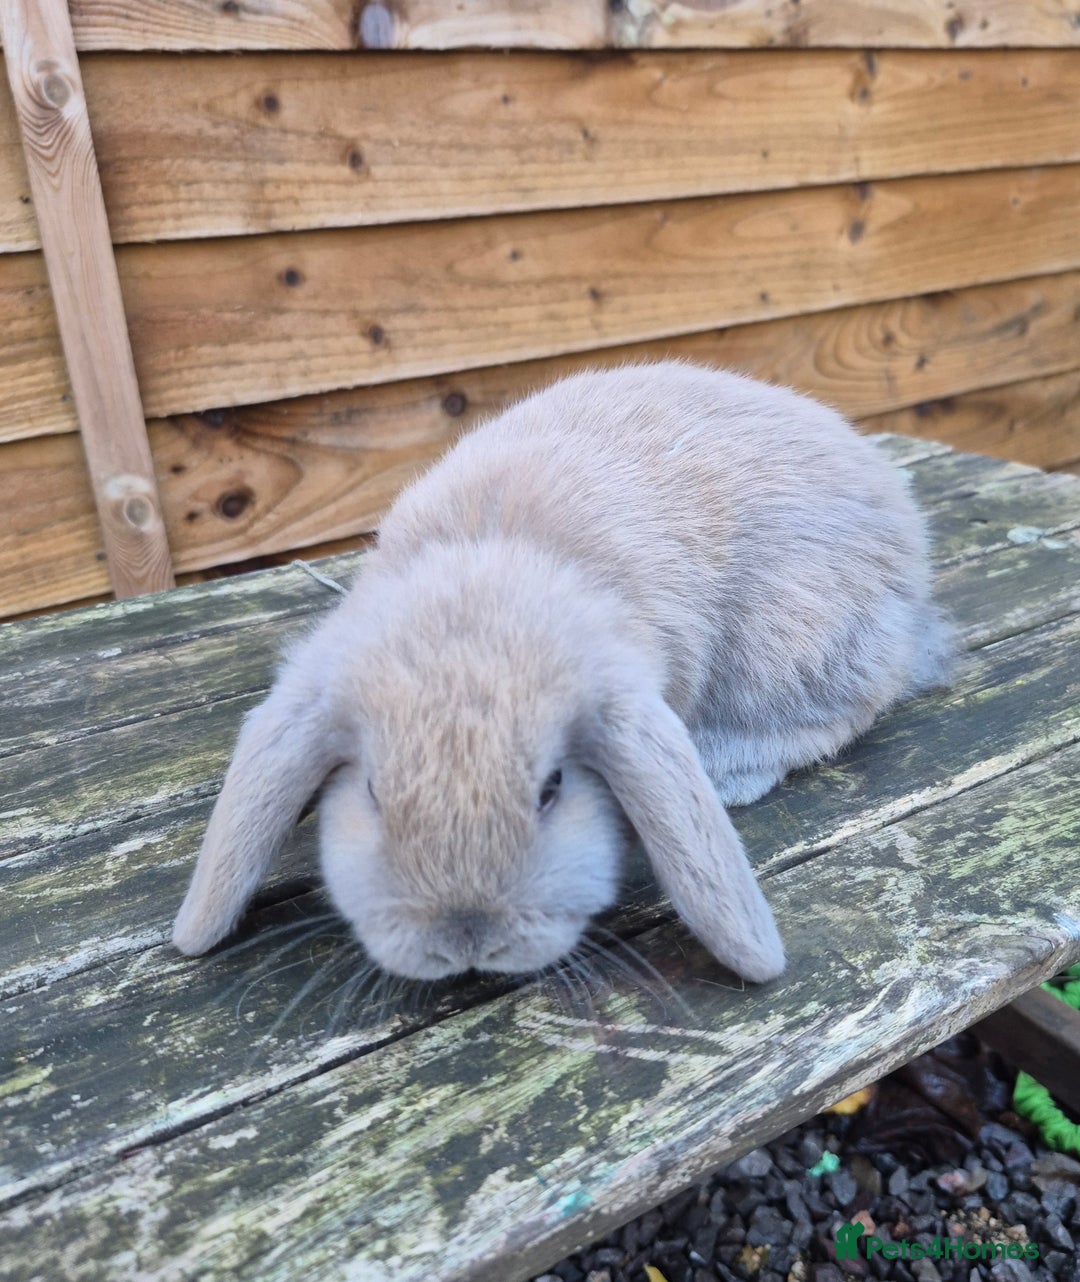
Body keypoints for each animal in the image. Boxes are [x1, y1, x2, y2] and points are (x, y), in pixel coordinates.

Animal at [172, 361, 953, 985]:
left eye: (553, 788)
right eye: (372, 790)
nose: (467, 940)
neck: (490, 559)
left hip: (789, 646)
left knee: (838, 715)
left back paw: (728, 769)